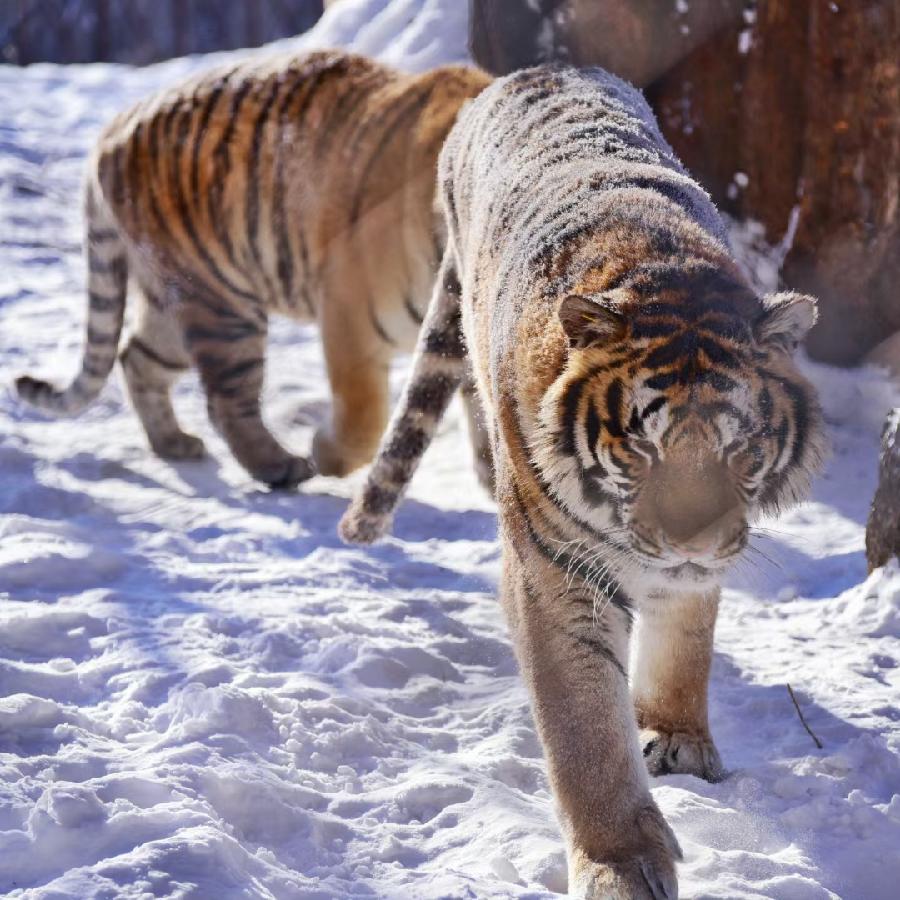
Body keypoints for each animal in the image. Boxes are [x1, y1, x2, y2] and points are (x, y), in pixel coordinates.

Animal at [16, 51, 493, 488]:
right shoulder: (347, 312)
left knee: (135, 356)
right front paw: (327, 456)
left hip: (174, 299)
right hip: (222, 304)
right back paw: (279, 467)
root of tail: (115, 127)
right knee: (226, 401)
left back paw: (173, 443)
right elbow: (363, 417)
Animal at [340, 65, 826, 898]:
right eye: (640, 446)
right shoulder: (556, 566)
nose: (691, 538)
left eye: (740, 445)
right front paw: (619, 864)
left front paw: (678, 739)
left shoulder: (701, 562)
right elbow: (585, 730)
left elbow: (685, 642)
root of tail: (531, 71)